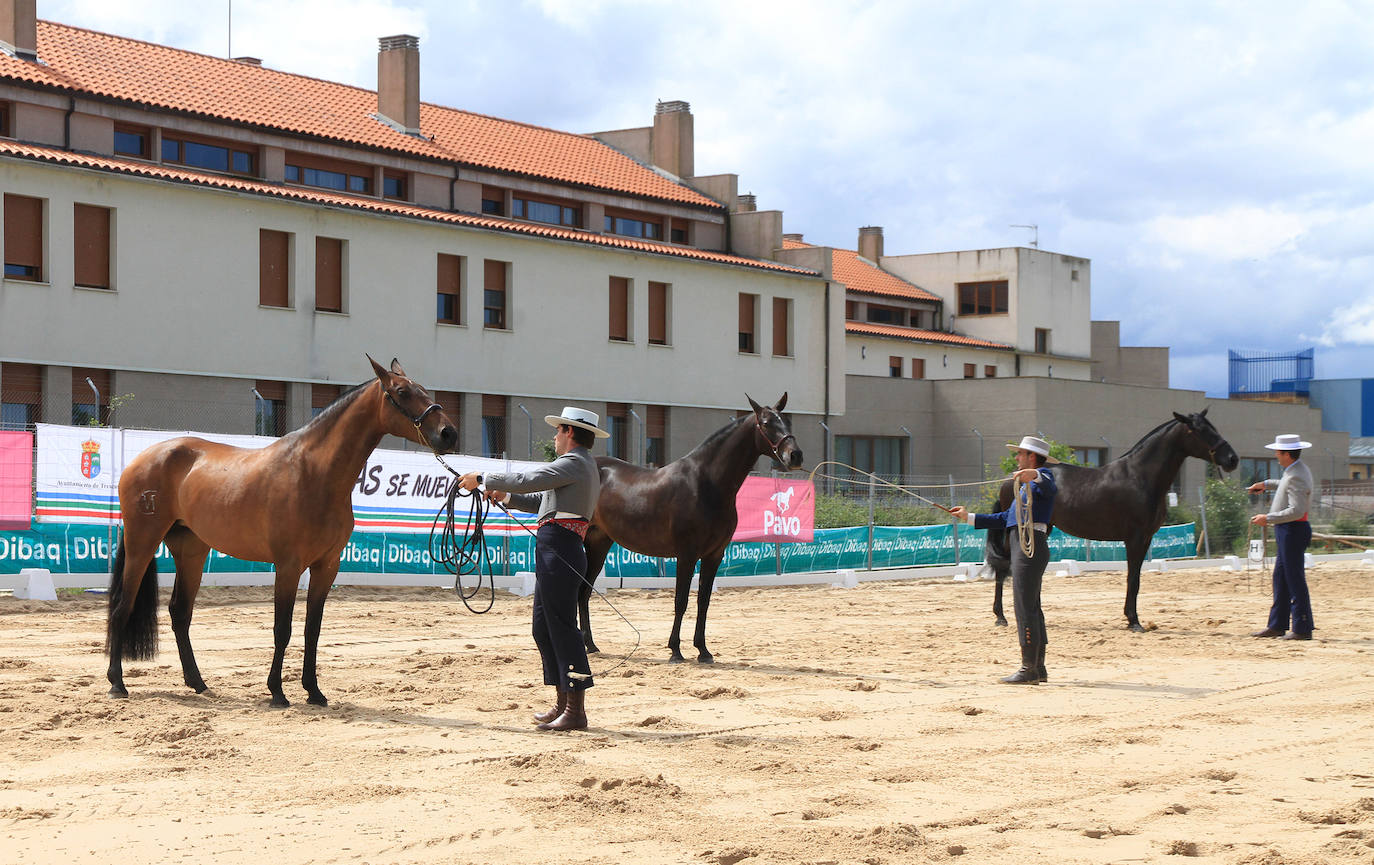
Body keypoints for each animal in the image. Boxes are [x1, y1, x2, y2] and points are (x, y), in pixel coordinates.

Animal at [107, 356, 458, 708]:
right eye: (402, 392)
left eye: (424, 390)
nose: (449, 433)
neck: (314, 473)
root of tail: (140, 459)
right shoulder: (288, 566)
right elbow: (282, 628)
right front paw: (277, 691)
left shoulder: (327, 566)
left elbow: (312, 630)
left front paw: (314, 691)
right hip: (142, 543)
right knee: (123, 605)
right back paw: (117, 683)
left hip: (191, 550)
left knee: (180, 612)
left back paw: (198, 683)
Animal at [574, 395, 802, 667]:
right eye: (766, 423)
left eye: (787, 420)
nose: (795, 455)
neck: (707, 484)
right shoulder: (687, 554)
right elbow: (680, 600)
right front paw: (675, 650)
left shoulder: (714, 555)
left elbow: (703, 601)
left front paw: (703, 650)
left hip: (599, 542)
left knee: (584, 591)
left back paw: (590, 645)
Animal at [983, 409, 1242, 634]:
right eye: (1199, 430)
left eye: (1214, 428)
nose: (1232, 459)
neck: (1141, 477)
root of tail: (1012, 477)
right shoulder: (1135, 538)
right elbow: (1133, 579)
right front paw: (1134, 621)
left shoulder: (1146, 538)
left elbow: (1136, 578)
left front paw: (1132, 619)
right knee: (1005, 568)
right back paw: (1001, 617)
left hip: (1041, 529)